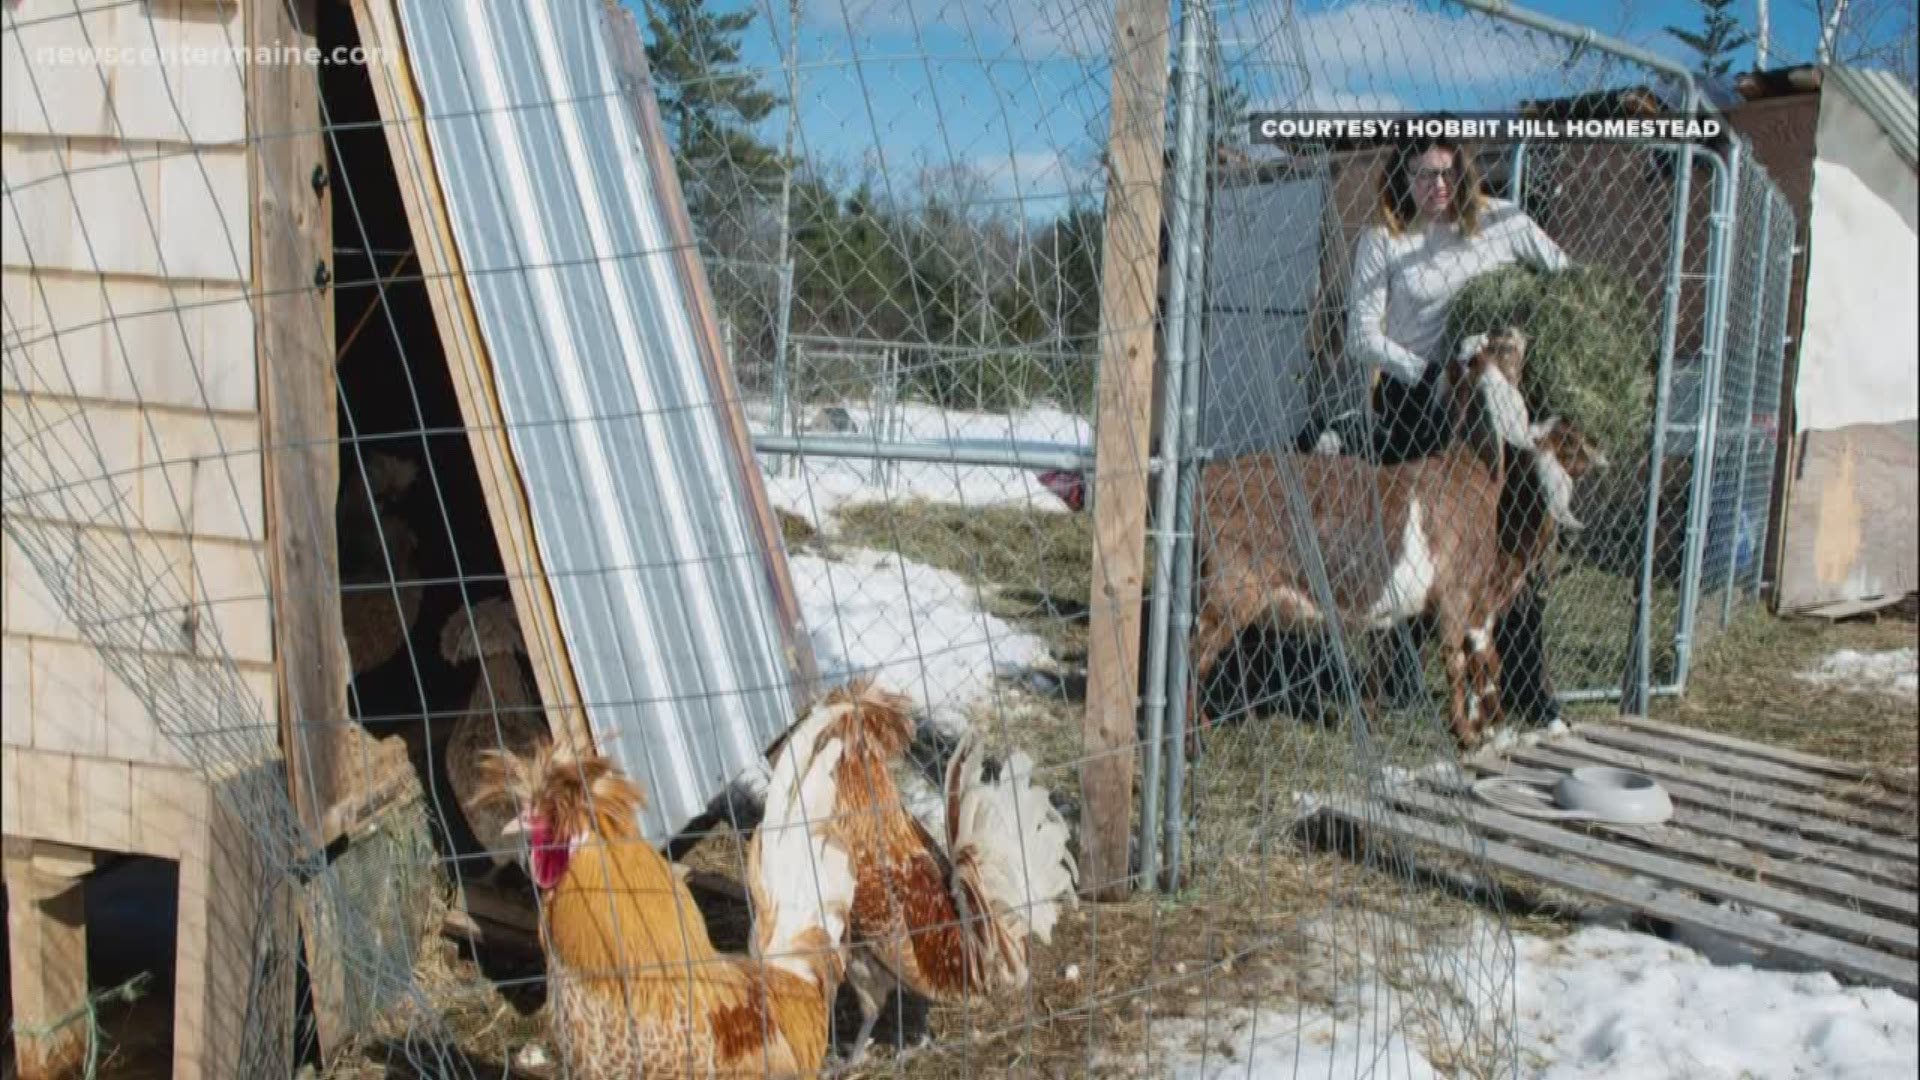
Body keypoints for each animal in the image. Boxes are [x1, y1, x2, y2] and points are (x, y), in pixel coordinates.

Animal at [1182, 363, 1605, 749]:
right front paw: (1475, 731)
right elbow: (1472, 662)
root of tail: (1201, 488)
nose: (1602, 453)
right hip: (1227, 595)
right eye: (1570, 442)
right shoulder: (1464, 601)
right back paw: (1196, 740)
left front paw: (1376, 719)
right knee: (1190, 658)